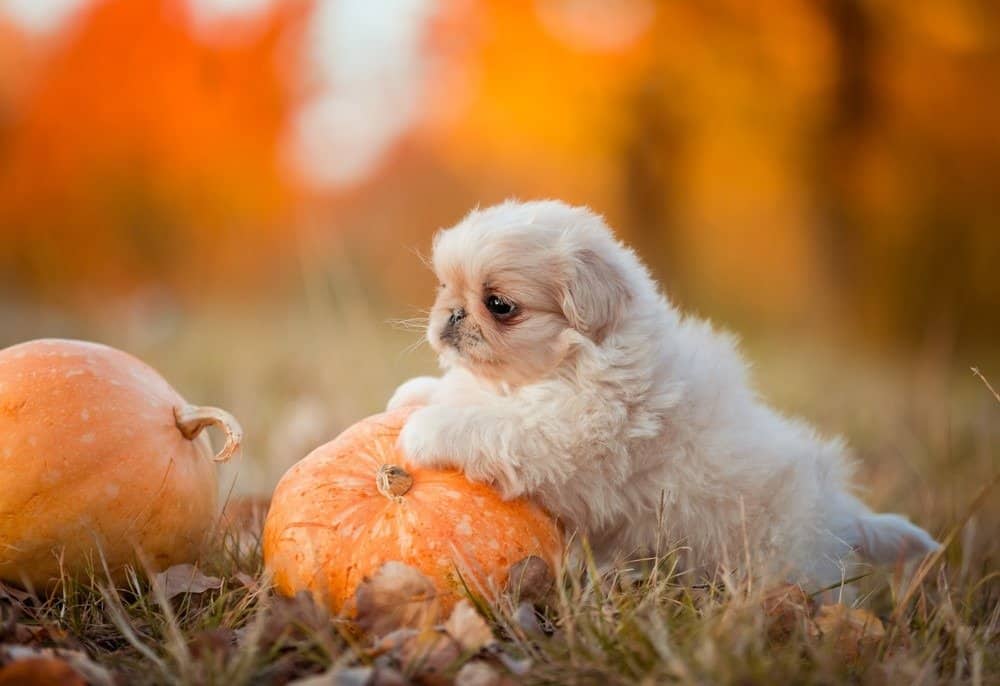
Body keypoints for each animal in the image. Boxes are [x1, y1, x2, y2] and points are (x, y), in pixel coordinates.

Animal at [390, 202, 936, 588]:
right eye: (444, 287)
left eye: (499, 305)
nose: (451, 315)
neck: (572, 361)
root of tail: (840, 514)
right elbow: (464, 393)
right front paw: (413, 394)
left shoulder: (567, 437)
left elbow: (495, 424)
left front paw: (427, 430)